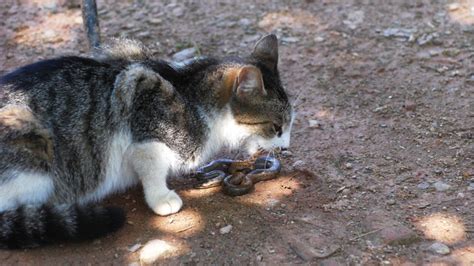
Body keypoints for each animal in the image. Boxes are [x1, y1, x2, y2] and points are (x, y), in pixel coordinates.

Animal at [0, 34, 294, 248]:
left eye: (290, 125)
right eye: (276, 127)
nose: (286, 147)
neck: (192, 92)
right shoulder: (144, 116)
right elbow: (151, 167)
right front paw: (161, 198)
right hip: (30, 142)